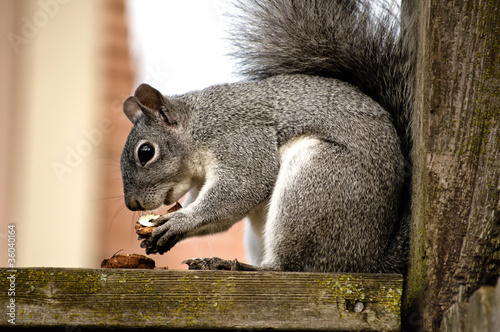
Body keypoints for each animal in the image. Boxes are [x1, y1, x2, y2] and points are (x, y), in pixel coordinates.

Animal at [120, 0, 414, 274]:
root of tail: (369, 260)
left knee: (289, 266)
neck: (198, 127)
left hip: (317, 182)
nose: (132, 204)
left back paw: (232, 265)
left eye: (146, 152)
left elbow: (242, 187)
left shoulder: (242, 139)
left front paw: (179, 222)